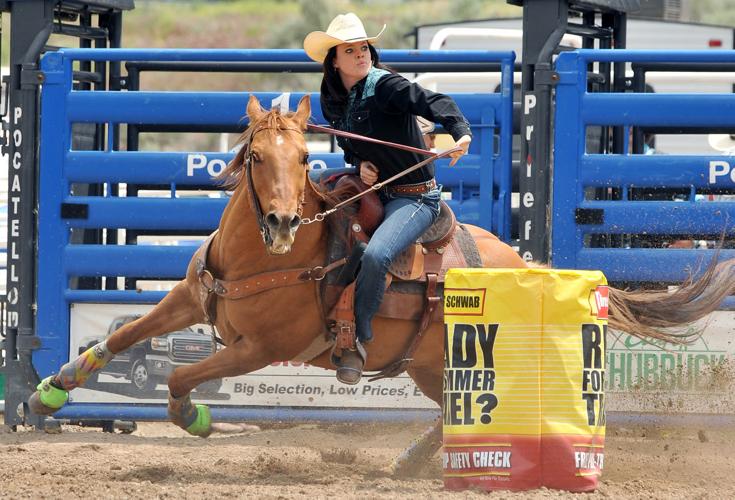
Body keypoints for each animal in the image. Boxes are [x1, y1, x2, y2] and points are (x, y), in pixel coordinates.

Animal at [30, 95, 735, 474]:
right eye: (256, 156)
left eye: (304, 159)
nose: (282, 222)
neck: (266, 259)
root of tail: (531, 266)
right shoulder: (193, 297)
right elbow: (126, 339)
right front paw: (51, 391)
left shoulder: (263, 348)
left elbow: (179, 377)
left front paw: (196, 418)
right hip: (427, 364)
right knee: (454, 407)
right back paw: (413, 461)